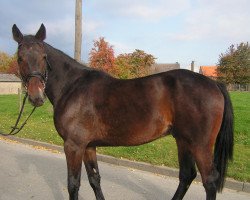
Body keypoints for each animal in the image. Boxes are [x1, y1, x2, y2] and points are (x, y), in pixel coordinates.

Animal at [11, 24, 233, 199]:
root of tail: (214, 83)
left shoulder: (73, 146)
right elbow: (94, 179)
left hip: (200, 145)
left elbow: (73, 185)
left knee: (209, 180)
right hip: (183, 140)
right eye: (20, 58)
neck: (72, 86)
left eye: (44, 57)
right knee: (187, 175)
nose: (36, 96)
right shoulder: (88, 146)